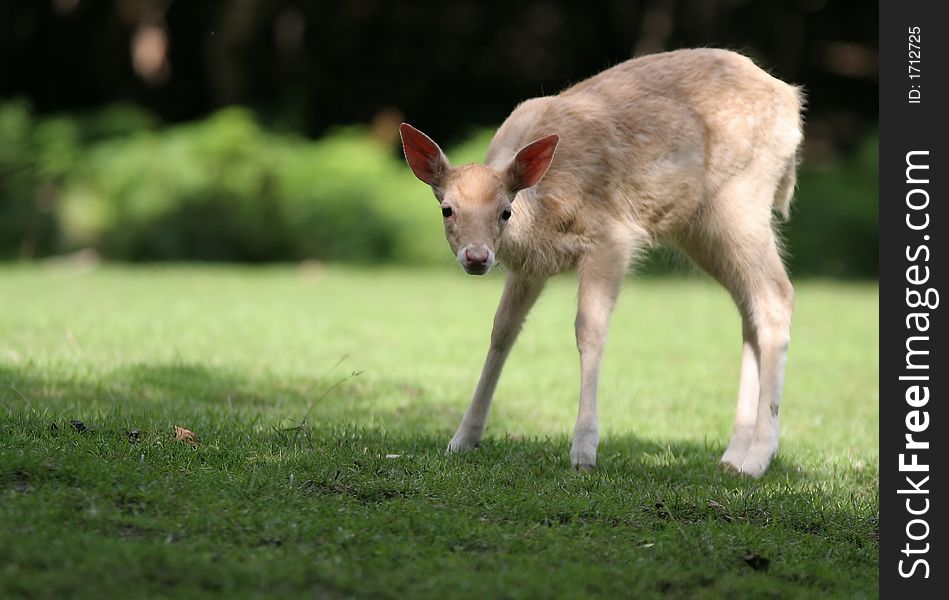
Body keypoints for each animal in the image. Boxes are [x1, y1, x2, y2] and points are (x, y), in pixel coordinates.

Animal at [396, 49, 804, 476]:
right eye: (447, 209)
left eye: (505, 211)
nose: (477, 256)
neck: (542, 214)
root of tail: (792, 101)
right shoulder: (529, 267)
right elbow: (502, 330)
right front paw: (463, 438)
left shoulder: (610, 238)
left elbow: (589, 330)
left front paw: (584, 450)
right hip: (701, 230)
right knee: (749, 309)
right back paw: (733, 454)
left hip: (742, 201)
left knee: (777, 297)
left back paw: (757, 458)